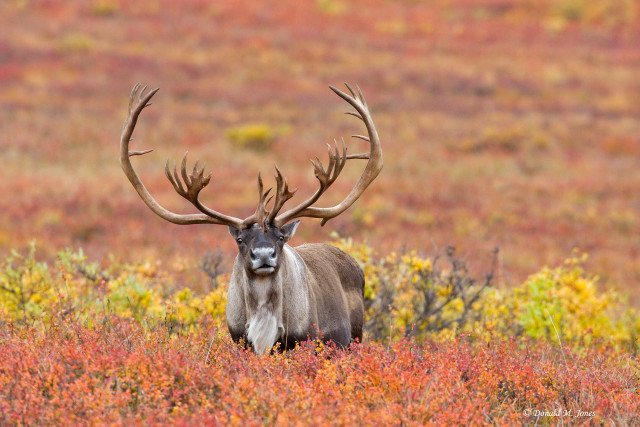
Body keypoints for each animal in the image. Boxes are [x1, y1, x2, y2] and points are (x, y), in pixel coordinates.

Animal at [120, 83, 382, 354]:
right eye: (240, 240)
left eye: (280, 237)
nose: (264, 255)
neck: (263, 319)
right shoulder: (241, 341)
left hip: (354, 338)